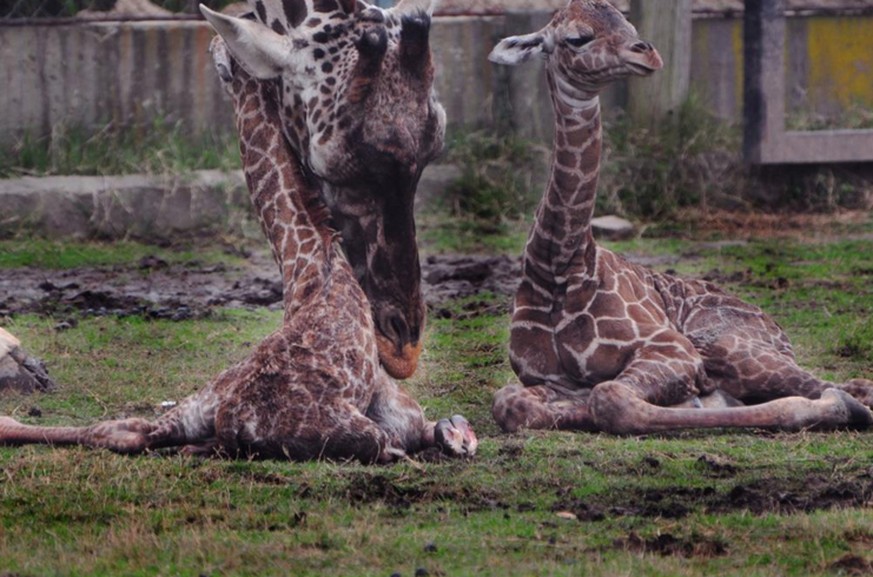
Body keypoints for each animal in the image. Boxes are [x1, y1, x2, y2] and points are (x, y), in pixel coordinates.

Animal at [0, 30, 476, 464]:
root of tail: (235, 420)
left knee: (128, 431)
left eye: (226, 58)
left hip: (202, 401)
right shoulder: (392, 401)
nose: (212, 40)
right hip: (348, 430)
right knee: (391, 446)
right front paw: (457, 435)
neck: (310, 262)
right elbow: (428, 425)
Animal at [488, 0, 872, 432]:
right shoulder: (548, 380)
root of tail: (777, 328)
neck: (558, 264)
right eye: (577, 37)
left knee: (850, 387)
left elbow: (611, 398)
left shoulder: (672, 347)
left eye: (629, 23)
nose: (647, 52)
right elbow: (512, 403)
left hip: (726, 346)